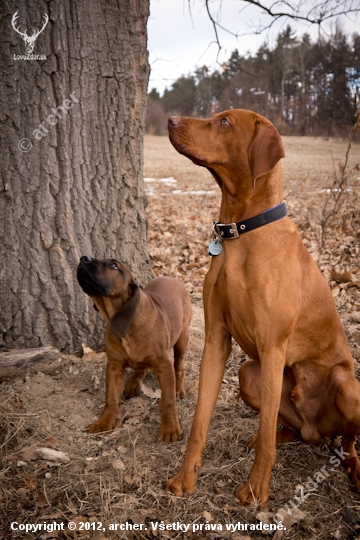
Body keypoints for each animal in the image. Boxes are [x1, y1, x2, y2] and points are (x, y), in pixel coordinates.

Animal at [77, 255, 193, 440]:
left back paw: (178, 389)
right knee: (141, 368)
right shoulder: (114, 366)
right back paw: (133, 382)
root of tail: (171, 278)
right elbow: (110, 399)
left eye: (114, 265)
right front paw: (103, 422)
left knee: (179, 365)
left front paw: (170, 428)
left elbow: (167, 401)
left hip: (182, 337)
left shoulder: (164, 365)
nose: (83, 258)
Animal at [165, 108, 360, 506]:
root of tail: (319, 430)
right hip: (249, 374)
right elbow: (199, 422)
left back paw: (354, 471)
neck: (241, 233)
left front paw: (256, 490)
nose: (170, 120)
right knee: (293, 431)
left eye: (224, 122)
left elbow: (268, 438)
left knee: (347, 444)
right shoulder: (216, 339)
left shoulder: (272, 347)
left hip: (349, 389)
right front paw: (185, 478)